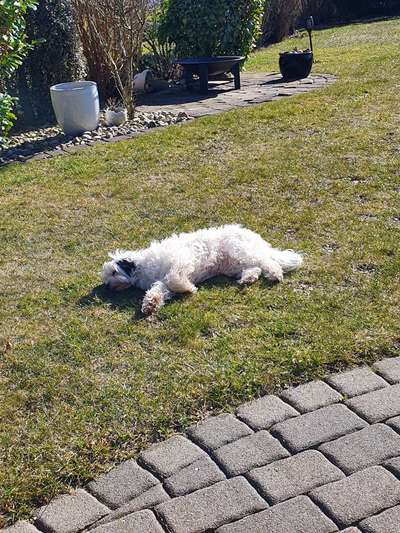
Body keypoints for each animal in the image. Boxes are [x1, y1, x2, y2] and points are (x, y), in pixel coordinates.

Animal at [101, 223, 302, 314]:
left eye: (114, 272)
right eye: (106, 279)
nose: (108, 287)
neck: (142, 266)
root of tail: (255, 237)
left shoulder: (180, 262)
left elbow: (175, 280)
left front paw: (189, 288)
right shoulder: (161, 281)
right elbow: (158, 290)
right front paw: (150, 303)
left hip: (240, 251)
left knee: (267, 262)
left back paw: (275, 274)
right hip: (235, 264)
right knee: (255, 268)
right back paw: (248, 278)